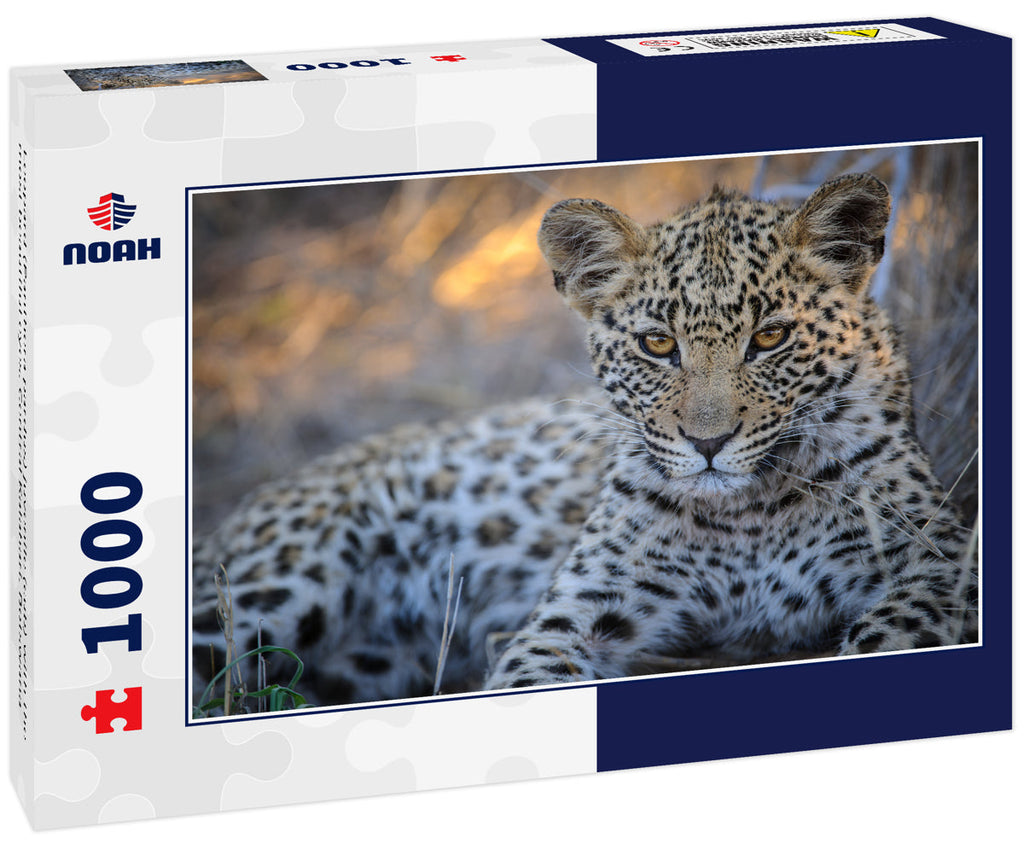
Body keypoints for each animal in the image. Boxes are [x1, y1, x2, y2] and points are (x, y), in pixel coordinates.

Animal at [191, 172, 977, 710]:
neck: (749, 513)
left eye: (771, 338)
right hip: (260, 589)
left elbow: (893, 632)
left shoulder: (935, 571)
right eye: (658, 345)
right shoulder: (575, 616)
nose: (710, 442)